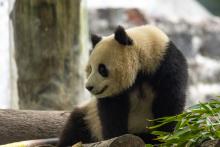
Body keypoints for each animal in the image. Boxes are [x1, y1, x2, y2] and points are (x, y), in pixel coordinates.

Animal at [57, 25, 187, 147]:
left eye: (102, 69)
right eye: (90, 69)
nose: (89, 87)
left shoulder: (165, 66)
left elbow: (169, 104)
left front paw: (164, 137)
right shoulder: (115, 95)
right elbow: (112, 114)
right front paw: (115, 137)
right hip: (89, 117)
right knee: (75, 129)